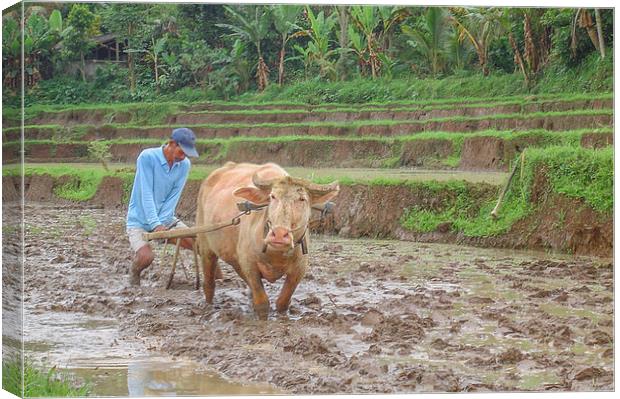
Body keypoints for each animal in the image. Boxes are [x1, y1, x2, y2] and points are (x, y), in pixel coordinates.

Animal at [196, 161, 340, 320]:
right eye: (272, 196)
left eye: (302, 199)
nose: (279, 235)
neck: (276, 253)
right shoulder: (250, 265)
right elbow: (262, 303)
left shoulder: (299, 270)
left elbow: (282, 302)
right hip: (205, 247)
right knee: (209, 283)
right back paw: (208, 307)